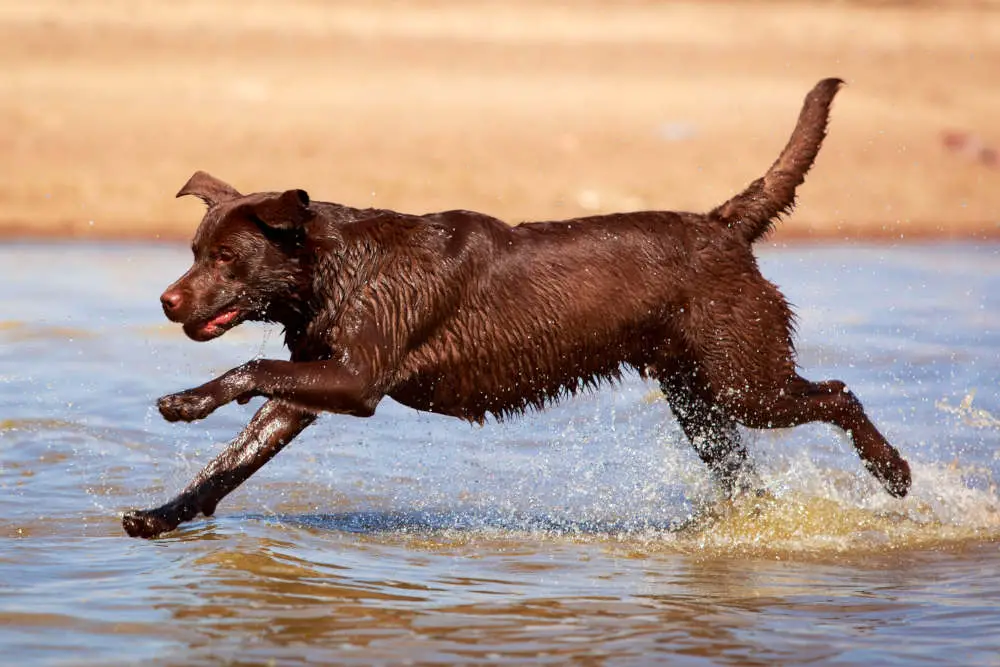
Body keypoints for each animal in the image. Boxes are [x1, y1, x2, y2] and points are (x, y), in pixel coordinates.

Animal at [123, 78, 908, 540]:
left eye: (226, 258)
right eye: (193, 249)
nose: (166, 299)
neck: (337, 270)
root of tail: (722, 224)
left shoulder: (357, 378)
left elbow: (251, 367)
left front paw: (186, 401)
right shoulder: (313, 383)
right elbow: (233, 458)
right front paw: (160, 515)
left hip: (745, 376)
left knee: (838, 394)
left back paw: (894, 472)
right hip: (699, 398)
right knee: (743, 468)